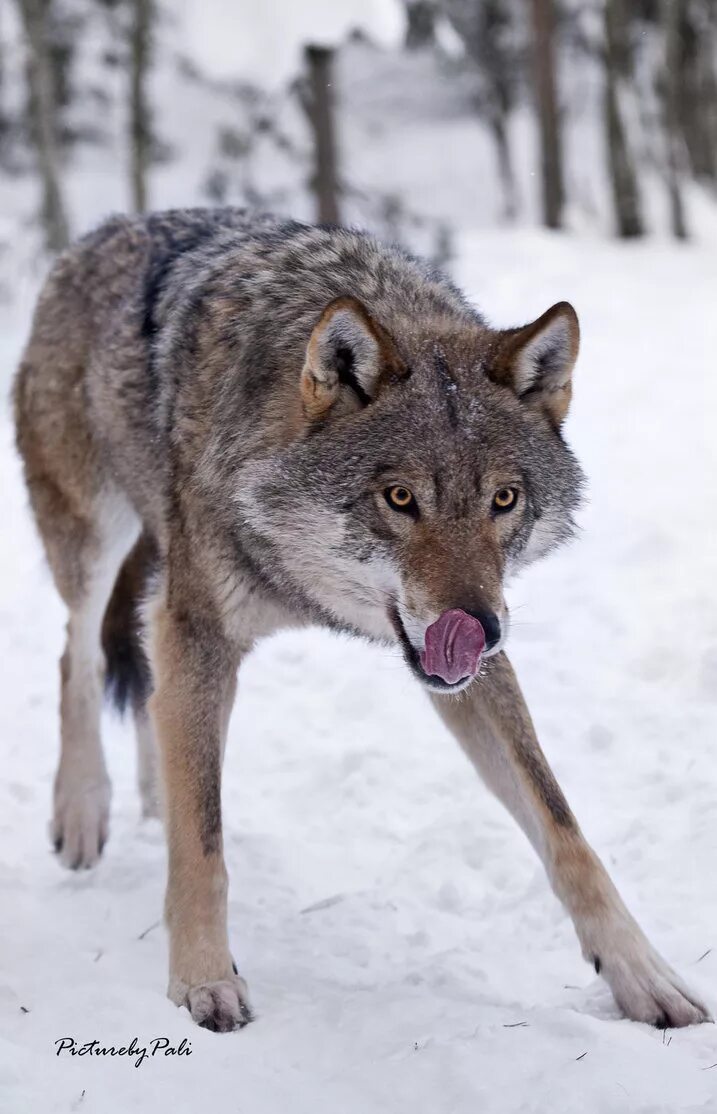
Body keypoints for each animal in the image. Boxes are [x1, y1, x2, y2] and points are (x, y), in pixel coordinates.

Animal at [14, 207, 708, 1032]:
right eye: (400, 498)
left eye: (503, 500)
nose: (480, 625)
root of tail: (107, 227)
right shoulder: (202, 630)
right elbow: (204, 843)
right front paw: (203, 981)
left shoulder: (467, 669)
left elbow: (564, 830)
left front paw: (643, 976)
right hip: (96, 539)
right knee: (77, 652)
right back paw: (83, 811)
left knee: (144, 692)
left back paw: (148, 800)